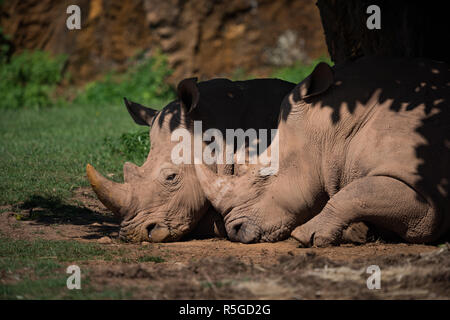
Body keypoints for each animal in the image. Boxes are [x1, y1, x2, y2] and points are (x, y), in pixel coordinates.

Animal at [197, 56, 450, 246]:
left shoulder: (426, 198)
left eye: (264, 176)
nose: (235, 231)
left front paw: (305, 236)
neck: (334, 132)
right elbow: (359, 192)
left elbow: (357, 192)